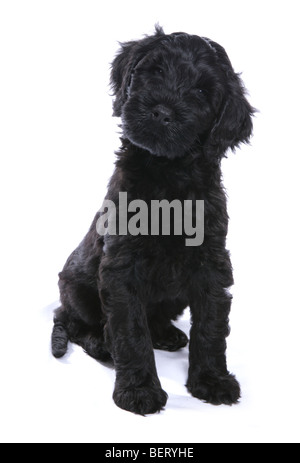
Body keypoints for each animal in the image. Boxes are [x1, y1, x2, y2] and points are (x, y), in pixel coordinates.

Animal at [51, 27, 253, 416]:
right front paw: (139, 390)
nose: (161, 112)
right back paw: (101, 344)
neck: (167, 176)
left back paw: (167, 334)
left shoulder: (212, 264)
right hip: (76, 289)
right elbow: (131, 331)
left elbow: (211, 325)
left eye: (202, 92)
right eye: (155, 71)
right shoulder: (121, 267)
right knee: (71, 321)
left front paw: (212, 381)